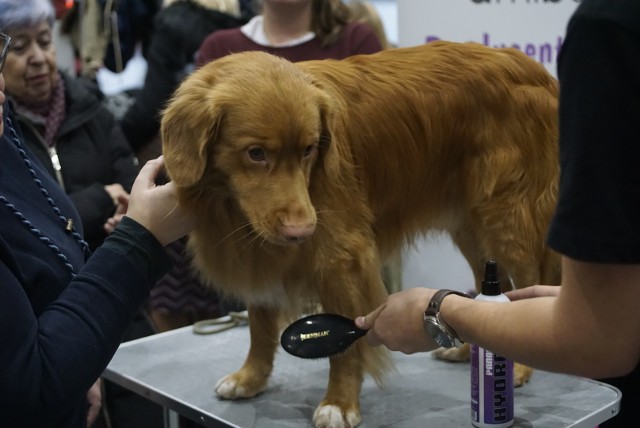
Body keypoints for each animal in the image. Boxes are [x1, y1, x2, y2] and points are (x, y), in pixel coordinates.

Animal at [160, 42, 560, 428]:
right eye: (255, 153)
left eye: (309, 149)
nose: (302, 231)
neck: (230, 205)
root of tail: (533, 69)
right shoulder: (260, 256)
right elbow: (259, 326)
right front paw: (251, 377)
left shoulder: (341, 258)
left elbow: (346, 347)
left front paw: (339, 403)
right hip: (468, 223)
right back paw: (465, 349)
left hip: (505, 215)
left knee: (527, 287)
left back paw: (520, 367)